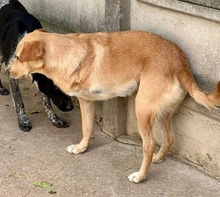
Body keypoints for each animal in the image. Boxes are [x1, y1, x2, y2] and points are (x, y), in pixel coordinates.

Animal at [0, 0, 74, 132]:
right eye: (55, 87)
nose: (70, 107)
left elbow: (46, 101)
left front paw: (54, 119)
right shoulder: (12, 73)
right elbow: (18, 101)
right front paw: (23, 121)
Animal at [9, 29, 219, 183]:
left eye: (18, 57)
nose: (8, 72)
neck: (65, 53)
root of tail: (180, 59)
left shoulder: (86, 101)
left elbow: (87, 128)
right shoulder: (87, 102)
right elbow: (87, 129)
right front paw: (81, 148)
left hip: (142, 109)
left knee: (149, 145)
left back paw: (141, 176)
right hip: (160, 113)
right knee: (169, 139)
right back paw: (158, 158)